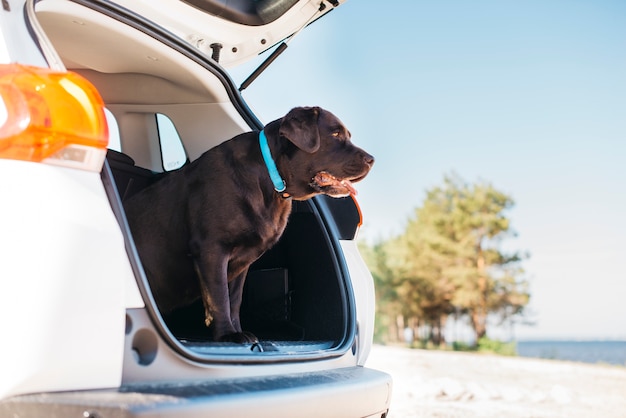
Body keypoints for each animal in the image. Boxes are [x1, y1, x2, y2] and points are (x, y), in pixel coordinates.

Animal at [124, 105, 372, 342]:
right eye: (335, 134)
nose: (372, 159)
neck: (271, 179)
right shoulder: (211, 249)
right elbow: (219, 297)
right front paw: (227, 335)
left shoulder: (242, 261)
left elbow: (234, 299)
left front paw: (238, 331)